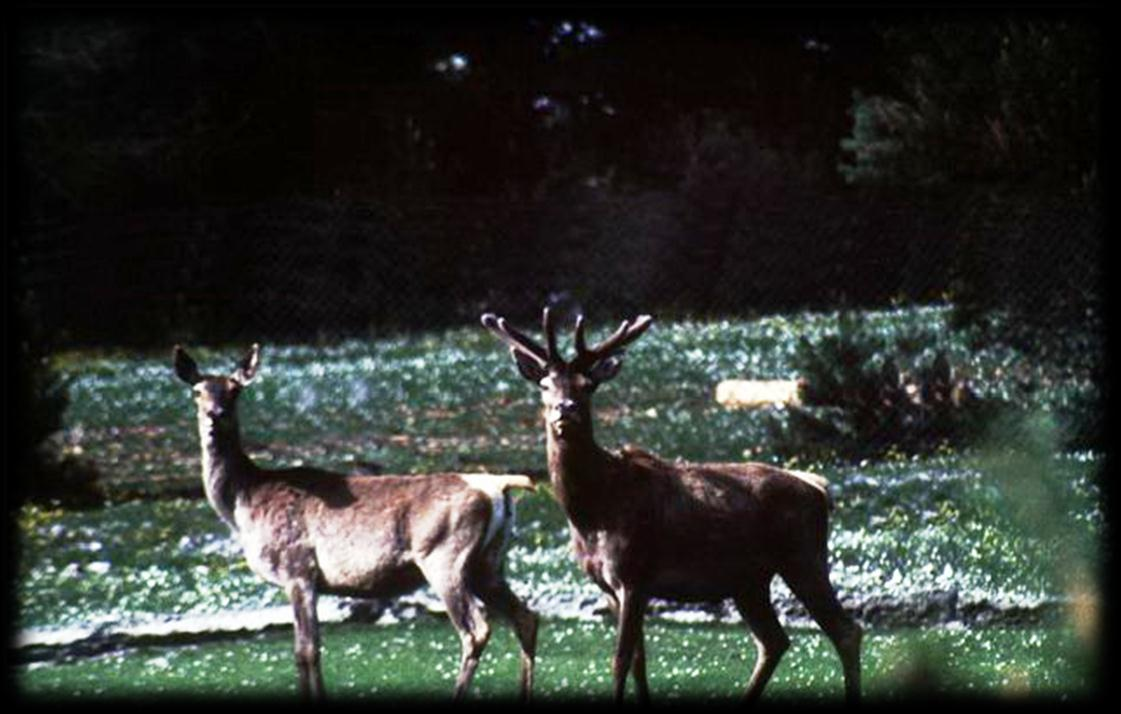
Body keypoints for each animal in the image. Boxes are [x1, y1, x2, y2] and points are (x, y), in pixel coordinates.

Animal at [173, 342, 538, 699]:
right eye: (197, 391)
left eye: (234, 391)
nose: (214, 416)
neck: (243, 502)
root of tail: (497, 486)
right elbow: (309, 650)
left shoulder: (298, 568)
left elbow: (306, 651)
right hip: (488, 561)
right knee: (526, 617)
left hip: (445, 556)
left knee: (476, 628)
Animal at [479, 307, 856, 703]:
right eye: (545, 385)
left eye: (588, 385)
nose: (564, 409)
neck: (593, 511)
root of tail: (819, 490)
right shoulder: (609, 586)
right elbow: (638, 662)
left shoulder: (634, 573)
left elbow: (620, 660)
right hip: (749, 580)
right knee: (775, 641)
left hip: (803, 556)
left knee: (846, 631)